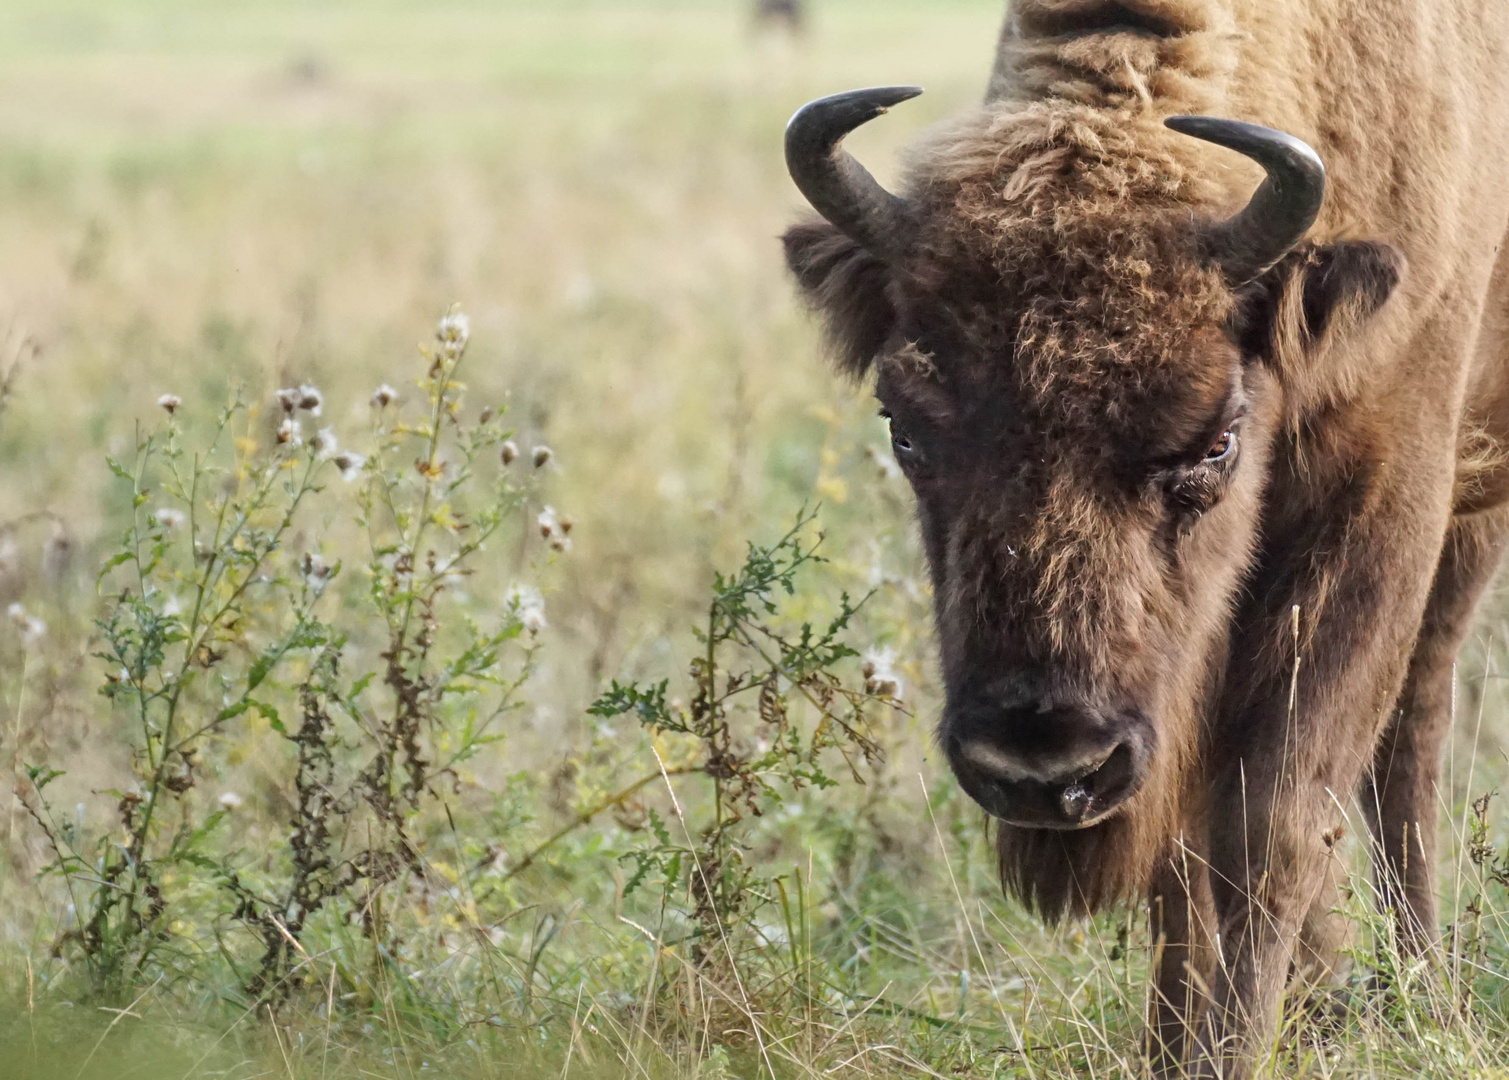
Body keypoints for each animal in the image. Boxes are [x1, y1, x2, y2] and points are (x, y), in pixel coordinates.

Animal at [784, 0, 1509, 1073]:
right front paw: (1174, 1050)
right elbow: (1182, 838)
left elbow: (1276, 821)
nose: (1043, 769)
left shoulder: (1388, 494)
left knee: (1412, 728)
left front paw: (1225, 1051)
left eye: (1214, 441)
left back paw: (1425, 992)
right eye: (904, 432)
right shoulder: (1171, 687)